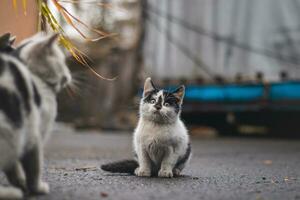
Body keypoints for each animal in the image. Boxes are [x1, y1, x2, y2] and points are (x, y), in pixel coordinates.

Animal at [0, 32, 71, 198]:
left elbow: (14, 168)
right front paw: (36, 188)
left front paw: (20, 182)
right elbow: (33, 168)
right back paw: (10, 193)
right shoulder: (34, 136)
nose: (68, 76)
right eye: (63, 62)